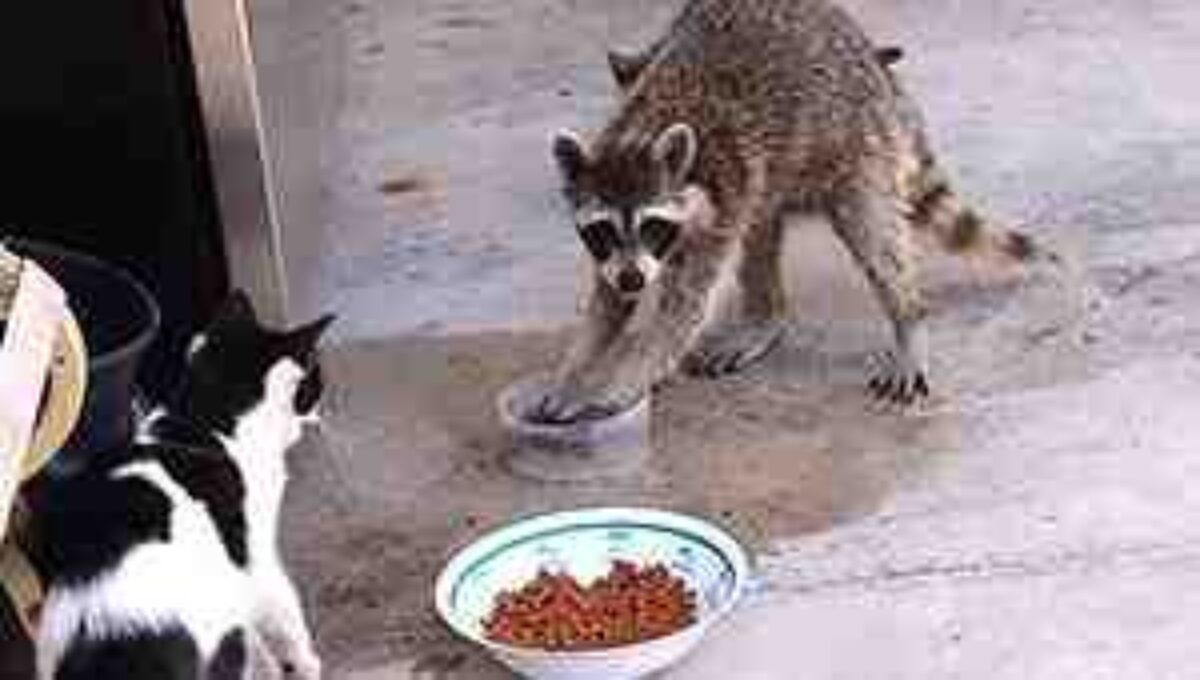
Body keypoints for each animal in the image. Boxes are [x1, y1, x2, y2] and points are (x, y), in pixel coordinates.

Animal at [21, 291, 334, 680]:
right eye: (316, 381)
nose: (322, 408)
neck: (205, 421)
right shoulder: (259, 558)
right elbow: (286, 616)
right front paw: (304, 663)